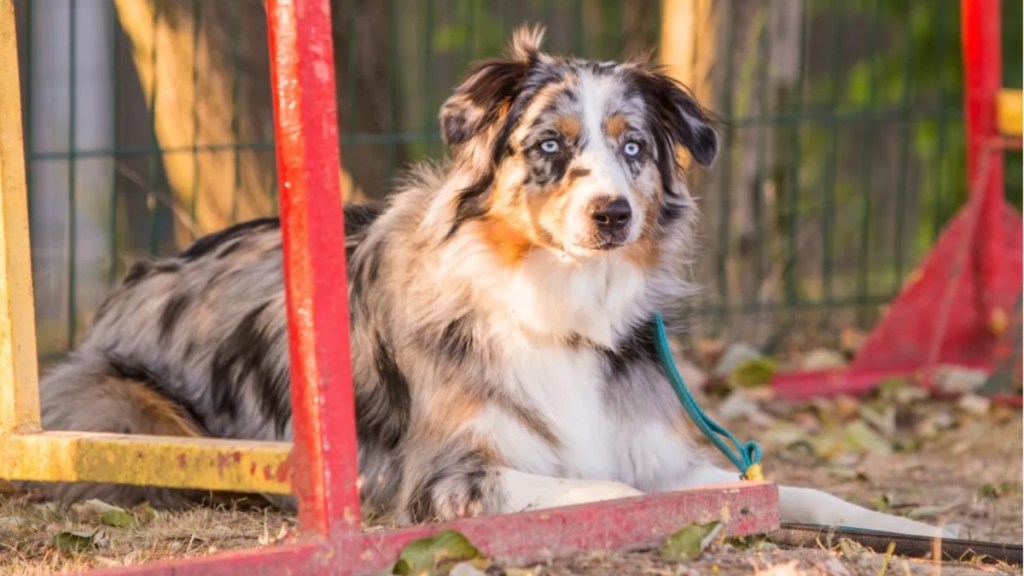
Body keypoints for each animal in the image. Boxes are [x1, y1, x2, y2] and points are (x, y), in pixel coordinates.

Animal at [32, 26, 950, 537]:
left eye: (634, 147)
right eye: (548, 145)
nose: (613, 215)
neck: (561, 303)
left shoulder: (655, 447)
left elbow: (791, 490)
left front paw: (905, 527)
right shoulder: (447, 478)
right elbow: (607, 491)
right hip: (128, 416)